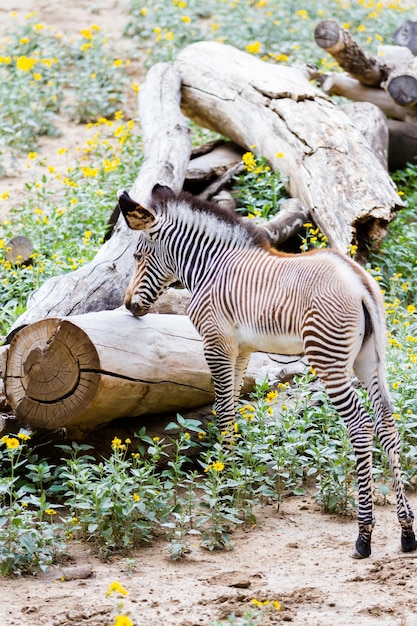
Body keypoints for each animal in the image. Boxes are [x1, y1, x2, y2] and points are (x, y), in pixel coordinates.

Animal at [118, 180, 416, 556]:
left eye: (137, 256)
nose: (128, 306)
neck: (211, 266)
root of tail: (358, 281)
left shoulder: (215, 343)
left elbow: (222, 412)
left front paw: (222, 488)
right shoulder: (240, 349)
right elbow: (231, 410)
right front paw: (231, 482)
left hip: (328, 358)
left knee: (360, 426)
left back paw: (363, 536)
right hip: (369, 360)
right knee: (387, 424)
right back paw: (406, 532)